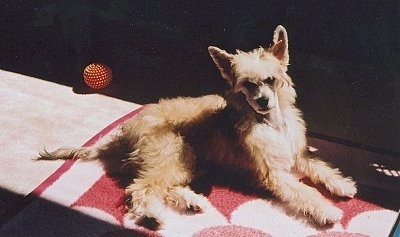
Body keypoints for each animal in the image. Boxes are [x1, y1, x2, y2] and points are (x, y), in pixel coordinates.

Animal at [38, 25, 356, 226]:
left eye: (270, 80)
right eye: (247, 84)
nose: (264, 101)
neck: (270, 122)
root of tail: (126, 132)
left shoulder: (299, 154)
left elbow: (321, 167)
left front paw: (342, 185)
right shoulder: (274, 173)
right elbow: (305, 191)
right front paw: (326, 210)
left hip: (184, 161)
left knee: (161, 184)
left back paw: (191, 200)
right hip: (176, 153)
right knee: (141, 188)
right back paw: (151, 215)